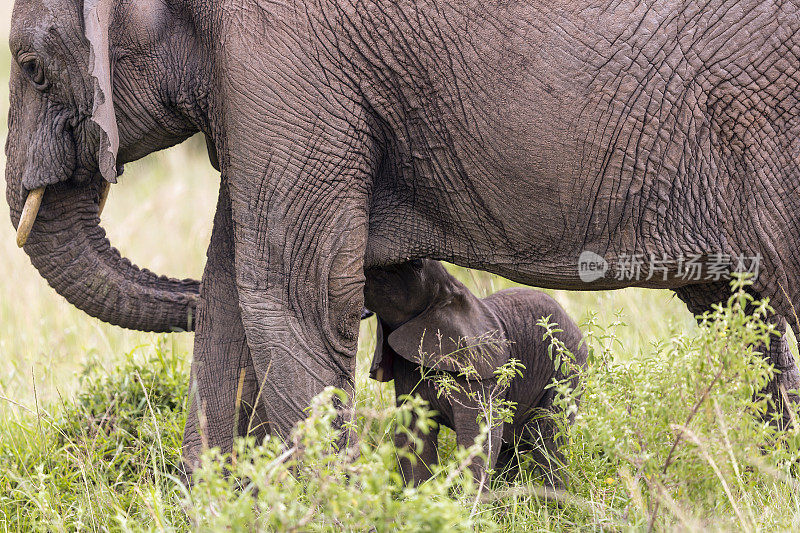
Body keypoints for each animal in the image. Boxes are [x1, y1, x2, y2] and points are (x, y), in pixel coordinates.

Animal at [364, 260, 588, 484]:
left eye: (415, 265)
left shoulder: (481, 370)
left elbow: (479, 433)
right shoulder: (406, 366)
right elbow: (413, 433)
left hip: (567, 371)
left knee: (550, 439)